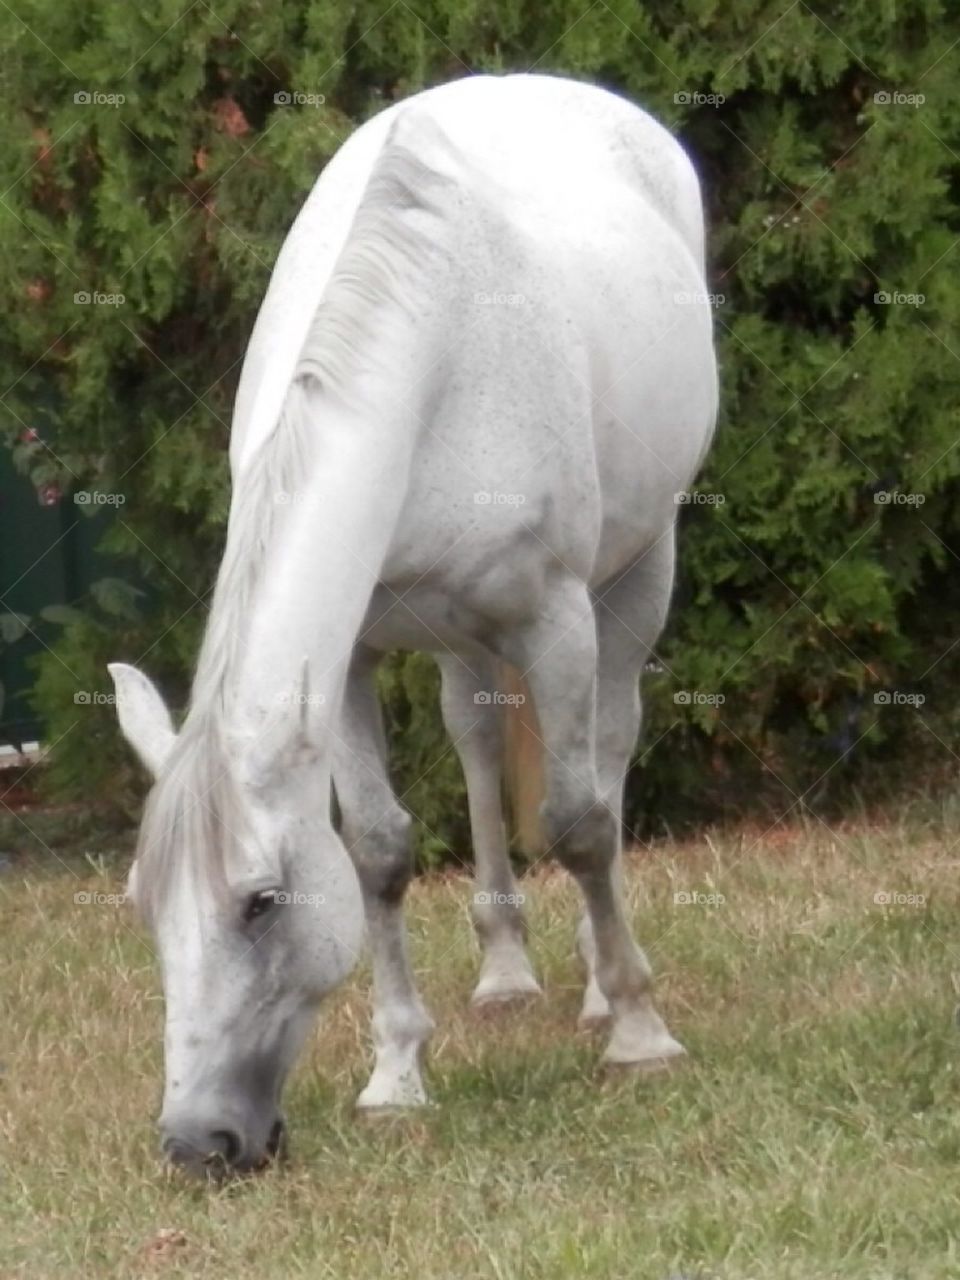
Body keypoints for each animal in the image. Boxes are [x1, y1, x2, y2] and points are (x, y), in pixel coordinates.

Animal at [108, 71, 718, 1178]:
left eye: (259, 902)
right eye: (143, 904)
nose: (199, 1142)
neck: (432, 347)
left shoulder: (556, 619)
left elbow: (579, 821)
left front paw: (641, 1036)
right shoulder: (348, 659)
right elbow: (383, 851)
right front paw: (396, 1076)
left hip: (637, 569)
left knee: (611, 746)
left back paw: (599, 985)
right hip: (458, 637)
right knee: (475, 736)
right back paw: (506, 972)